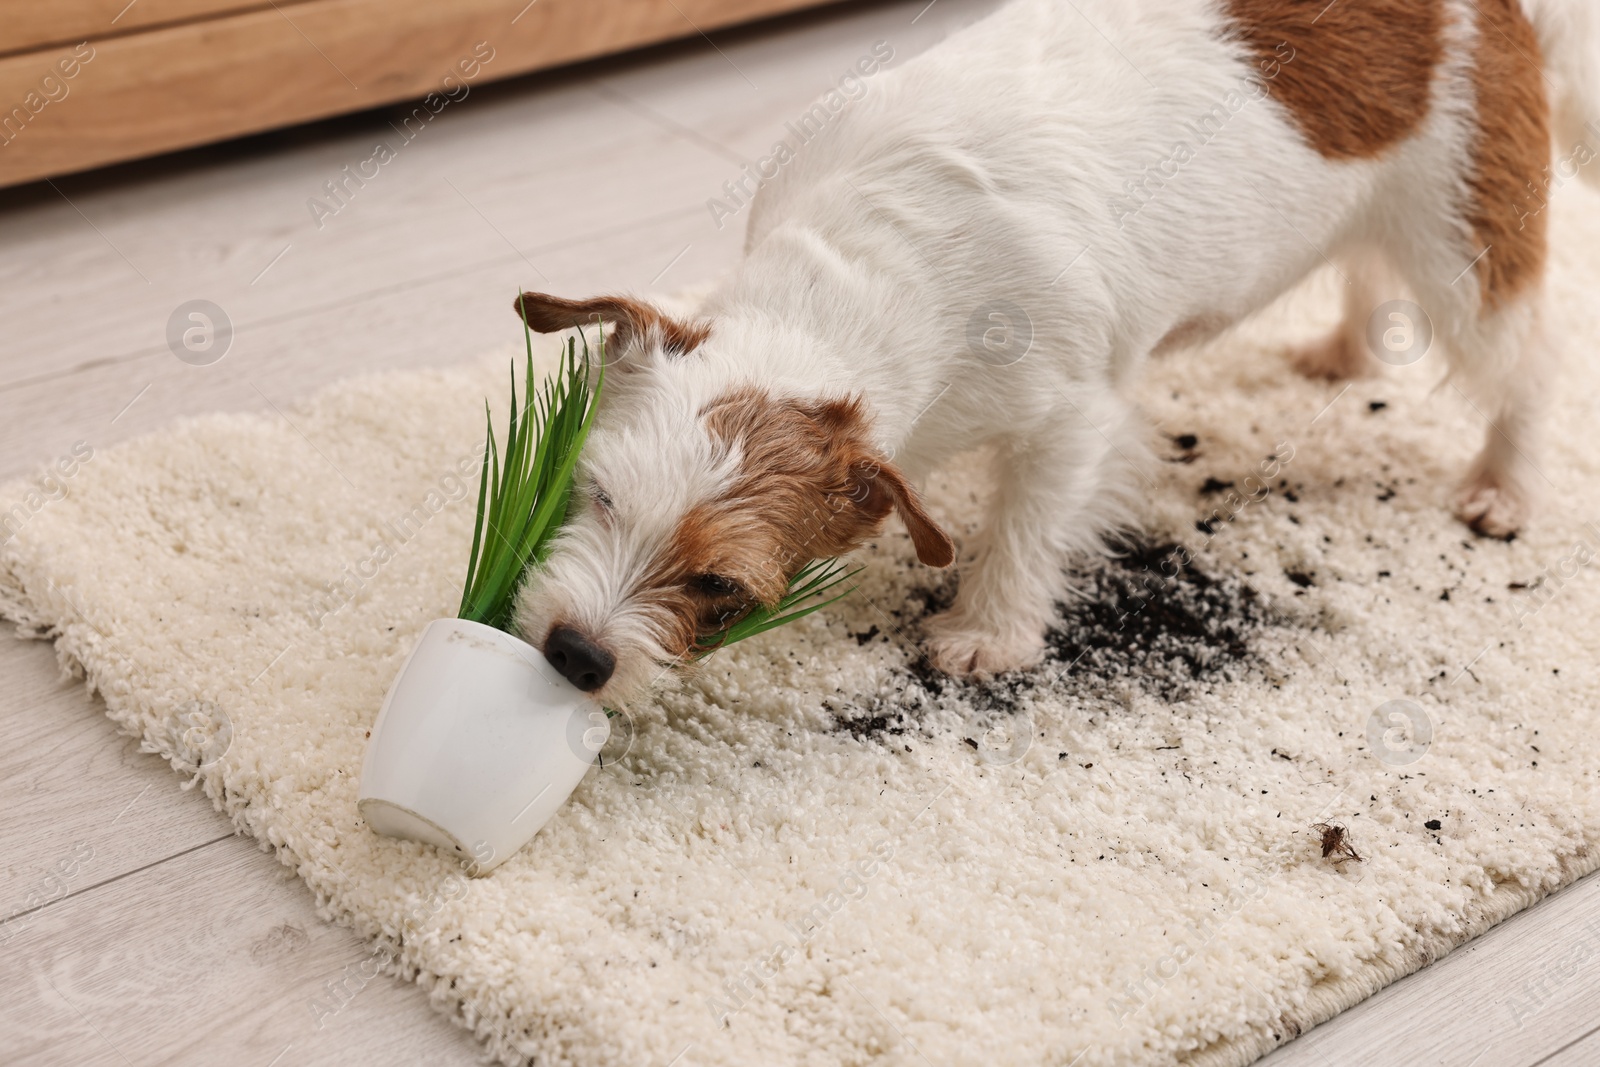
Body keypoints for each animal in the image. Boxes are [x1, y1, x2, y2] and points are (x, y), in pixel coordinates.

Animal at [512, 0, 1600, 700]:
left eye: (723, 588)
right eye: (596, 495)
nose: (574, 655)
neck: (860, 268)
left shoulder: (1072, 418)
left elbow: (1027, 525)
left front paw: (987, 632)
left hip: (1462, 244)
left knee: (1532, 358)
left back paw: (1505, 482)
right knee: (1366, 273)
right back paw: (1342, 350)